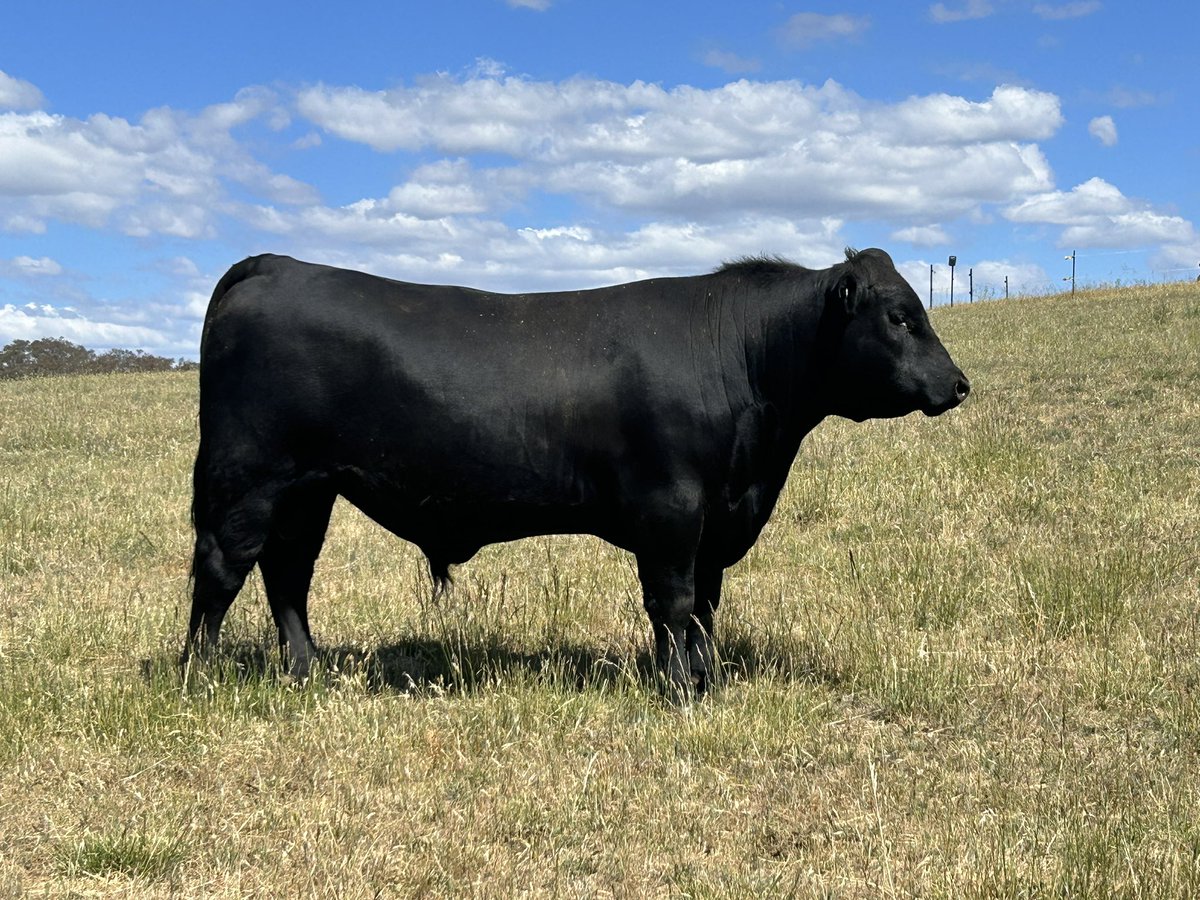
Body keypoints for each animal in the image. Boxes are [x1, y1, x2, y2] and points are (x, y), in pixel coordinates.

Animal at [187, 247, 969, 696]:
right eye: (900, 317)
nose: (959, 384)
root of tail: (275, 263)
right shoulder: (671, 509)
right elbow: (673, 603)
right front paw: (678, 690)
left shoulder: (715, 521)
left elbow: (704, 605)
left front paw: (705, 679)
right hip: (248, 478)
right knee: (221, 569)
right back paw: (200, 677)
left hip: (308, 489)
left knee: (288, 574)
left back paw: (307, 671)